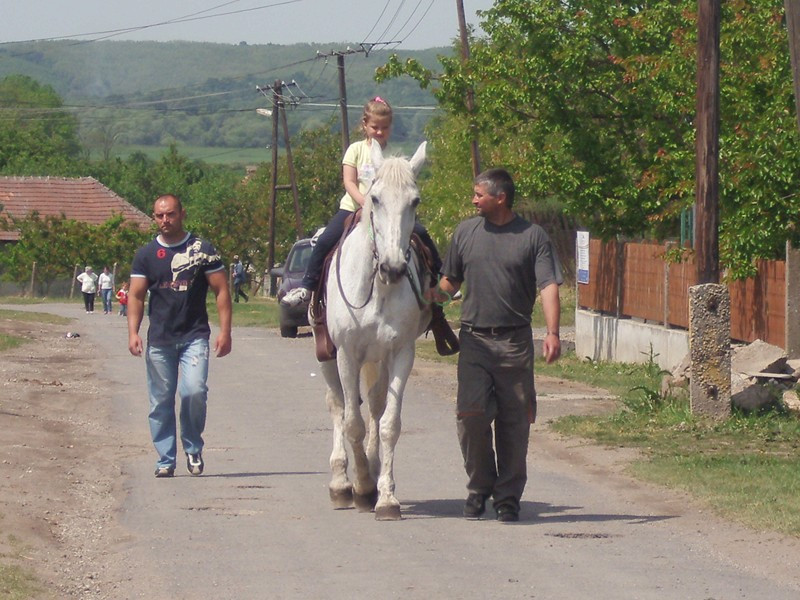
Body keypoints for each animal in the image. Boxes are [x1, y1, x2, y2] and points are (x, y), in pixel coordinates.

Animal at [318, 139, 432, 520]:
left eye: (415, 201)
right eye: (377, 198)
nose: (394, 267)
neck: (378, 288)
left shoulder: (400, 354)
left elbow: (388, 423)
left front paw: (385, 497)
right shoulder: (346, 354)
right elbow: (351, 421)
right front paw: (362, 487)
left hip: (379, 358)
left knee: (376, 404)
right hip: (328, 356)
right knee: (338, 405)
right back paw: (341, 483)